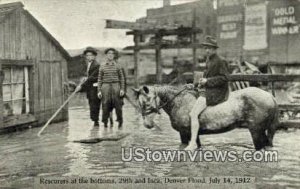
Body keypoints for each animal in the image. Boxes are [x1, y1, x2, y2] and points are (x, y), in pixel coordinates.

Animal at [134, 85, 278, 151]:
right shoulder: (192, 135)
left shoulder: (185, 133)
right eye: (139, 103)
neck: (179, 102)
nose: (147, 124)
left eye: (147, 101)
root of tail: (270, 96)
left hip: (256, 131)